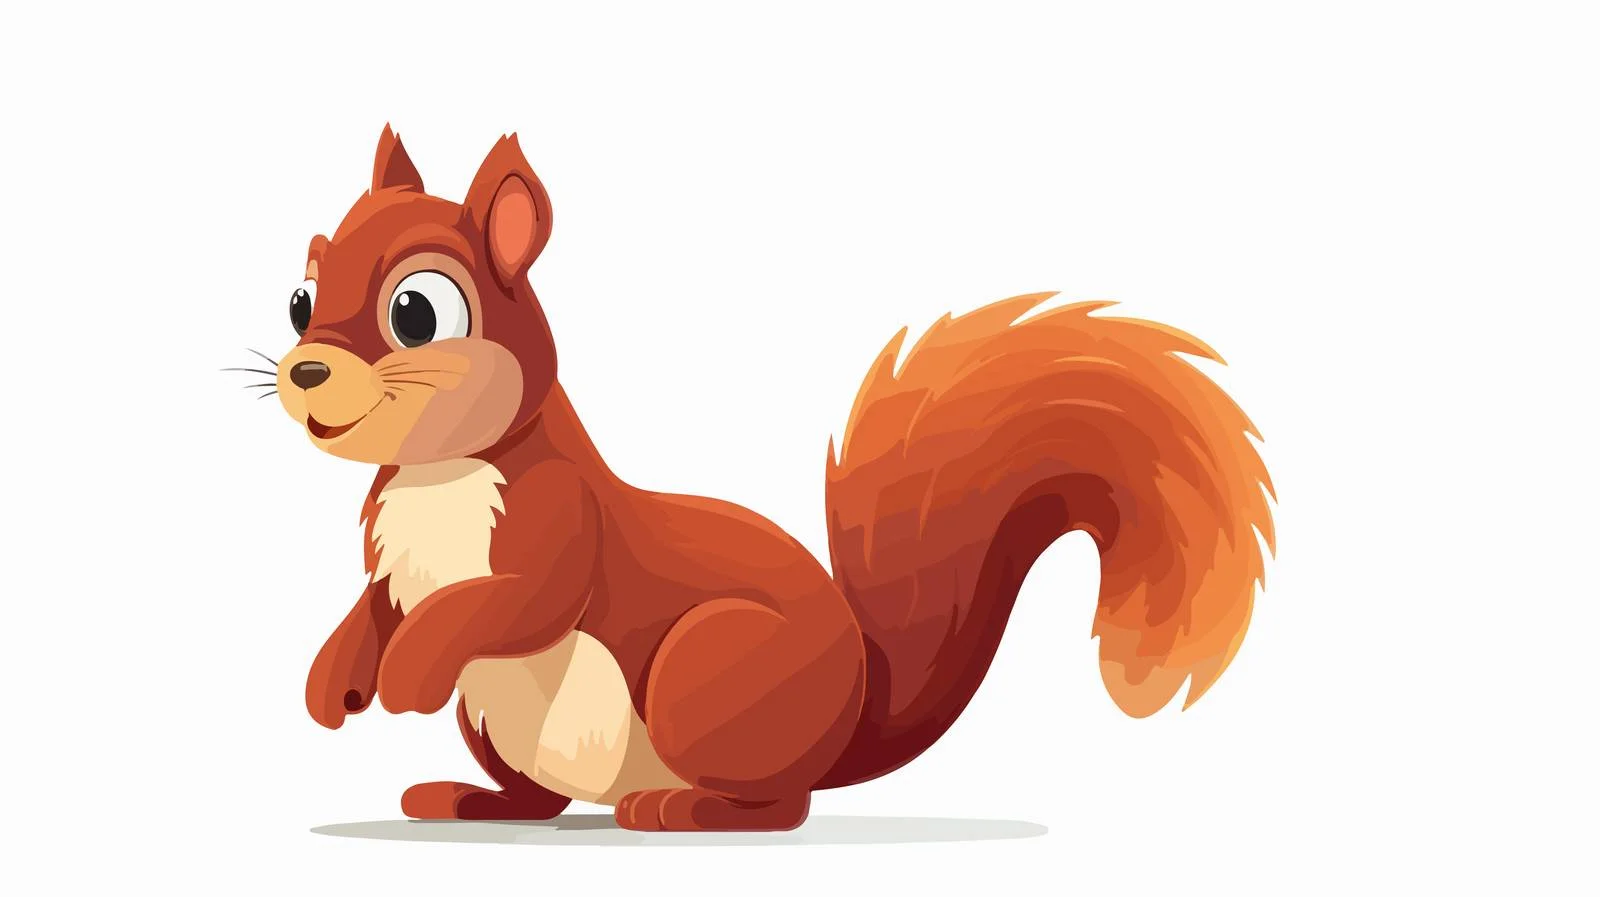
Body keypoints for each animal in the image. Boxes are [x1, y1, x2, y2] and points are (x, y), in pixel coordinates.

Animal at [275, 125, 1275, 832]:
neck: (437, 474)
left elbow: (513, 600)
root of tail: (846, 726)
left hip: (705, 673)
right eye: (299, 299)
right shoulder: (388, 561)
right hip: (499, 724)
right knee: (540, 802)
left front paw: (410, 669)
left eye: (417, 310)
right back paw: (467, 801)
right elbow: (373, 607)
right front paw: (335, 681)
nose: (306, 370)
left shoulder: (563, 522)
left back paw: (678, 811)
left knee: (781, 807)